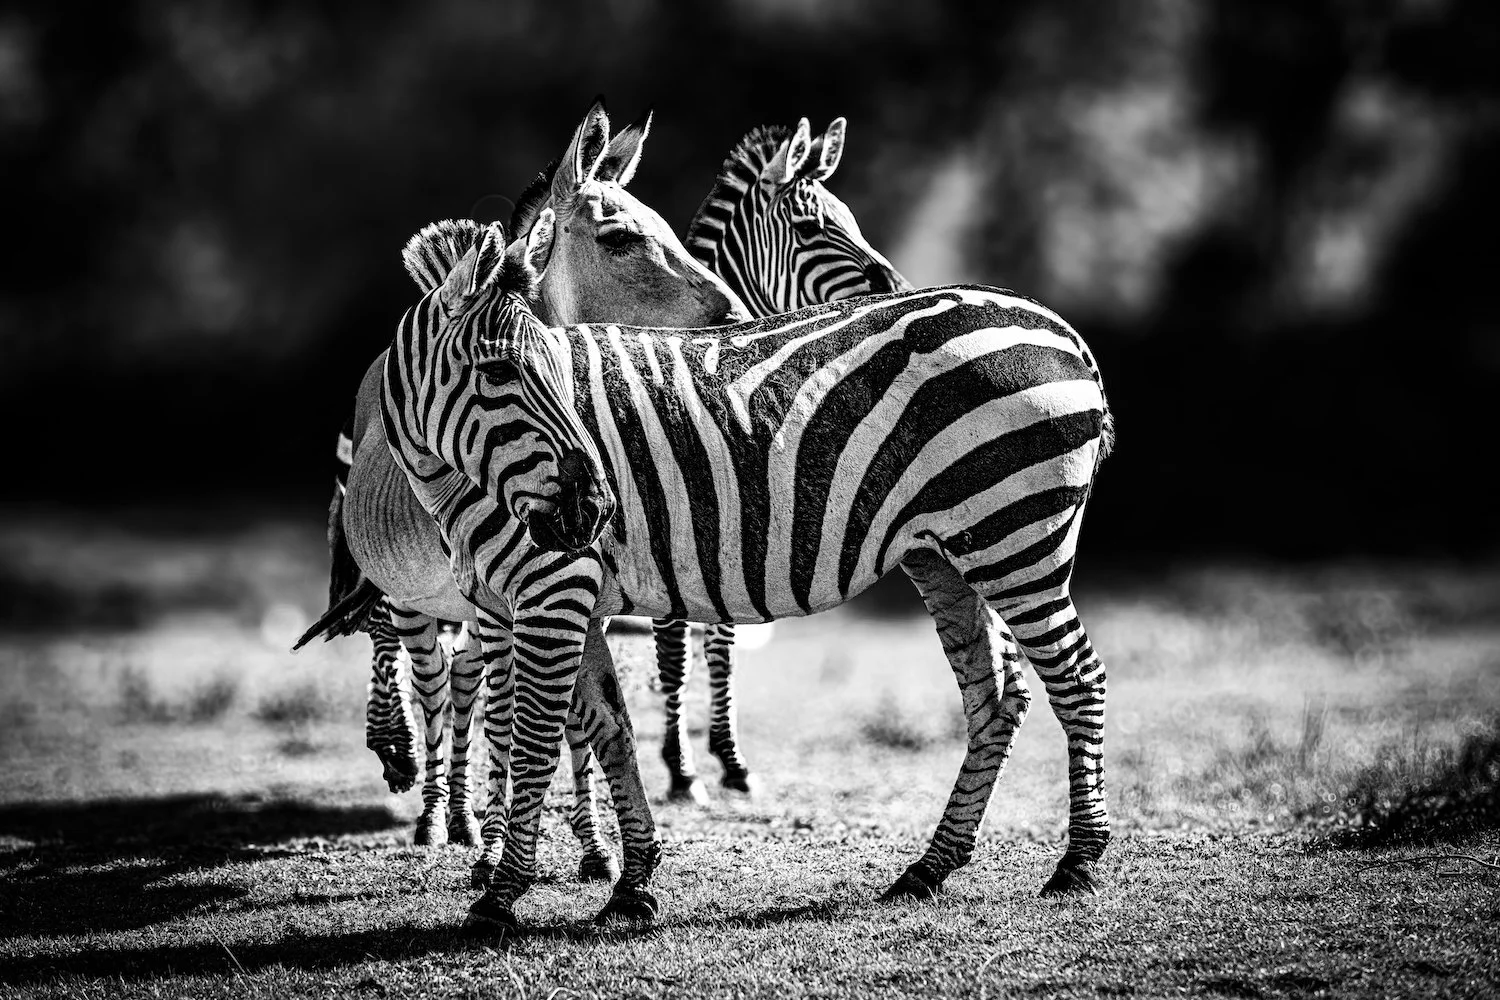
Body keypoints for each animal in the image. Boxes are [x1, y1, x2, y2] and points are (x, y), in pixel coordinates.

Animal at [381, 206, 1114, 931]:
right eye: (497, 372)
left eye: (552, 375)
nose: (597, 509)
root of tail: (1060, 329)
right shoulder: (567, 599)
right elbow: (610, 729)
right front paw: (632, 885)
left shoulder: (554, 588)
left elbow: (533, 736)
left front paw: (500, 897)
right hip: (947, 552)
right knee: (997, 699)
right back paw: (930, 867)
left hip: (1016, 535)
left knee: (1078, 679)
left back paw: (1077, 862)